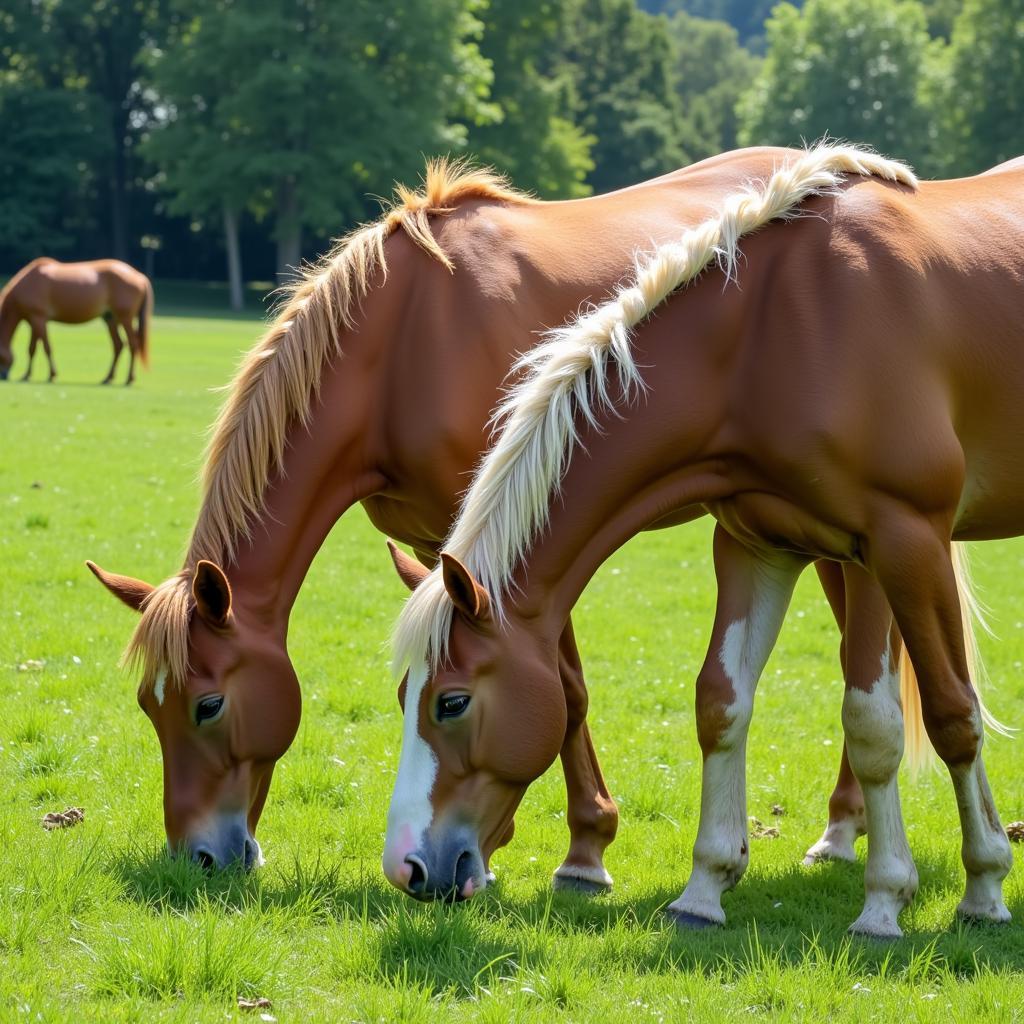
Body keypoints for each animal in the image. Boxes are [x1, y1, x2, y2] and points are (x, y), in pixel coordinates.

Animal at [0, 256, 151, 385]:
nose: (3, 376)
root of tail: (139, 276)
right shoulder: (33, 321)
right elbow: (32, 349)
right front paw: (27, 375)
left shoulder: (38, 318)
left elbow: (46, 347)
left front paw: (50, 375)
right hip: (111, 319)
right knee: (118, 345)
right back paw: (108, 378)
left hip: (125, 318)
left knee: (133, 344)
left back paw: (129, 379)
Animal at [83, 148, 868, 876]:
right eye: (149, 706)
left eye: (208, 705)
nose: (198, 858)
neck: (402, 347)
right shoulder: (447, 554)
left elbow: (567, 690)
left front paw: (583, 851)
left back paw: (841, 829)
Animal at [385, 144, 1024, 937]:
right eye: (404, 694)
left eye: (452, 701)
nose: (407, 866)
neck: (774, 333)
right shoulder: (758, 547)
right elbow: (722, 702)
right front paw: (705, 888)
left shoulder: (897, 543)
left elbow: (928, 716)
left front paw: (939, 893)